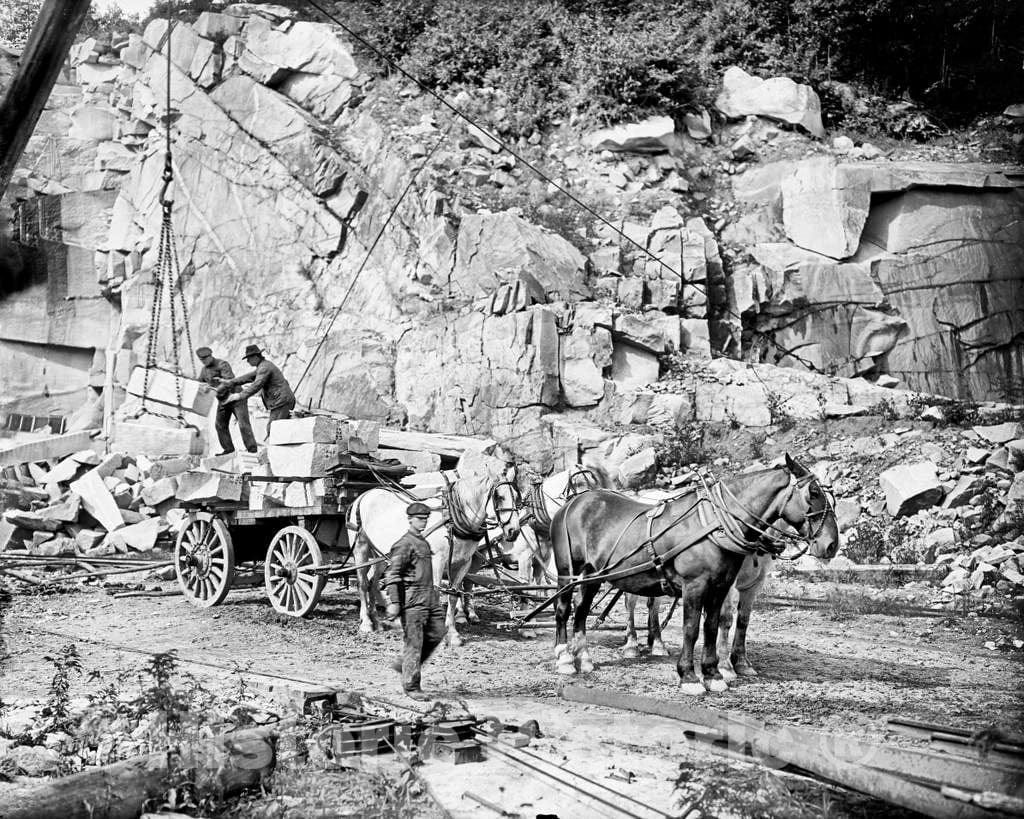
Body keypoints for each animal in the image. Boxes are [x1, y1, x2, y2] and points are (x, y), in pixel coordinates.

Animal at [350, 466, 524, 647]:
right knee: (363, 583)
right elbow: (434, 592)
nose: (514, 531)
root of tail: (365, 494)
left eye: (517, 497)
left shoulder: (463, 563)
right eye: (499, 497)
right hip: (361, 548)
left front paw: (453, 634)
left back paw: (376, 621)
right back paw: (366, 623)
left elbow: (453, 595)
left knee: (373, 582)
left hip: (381, 554)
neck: (452, 521)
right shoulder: (437, 561)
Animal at [548, 456, 835, 696]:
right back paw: (564, 657)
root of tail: (575, 501)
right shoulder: (694, 586)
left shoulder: (721, 587)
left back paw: (584, 658)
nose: (832, 544)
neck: (715, 524)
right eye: (813, 493)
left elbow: (712, 626)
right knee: (564, 608)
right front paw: (688, 676)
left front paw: (713, 674)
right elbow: (691, 629)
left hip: (593, 575)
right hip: (567, 571)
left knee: (581, 609)